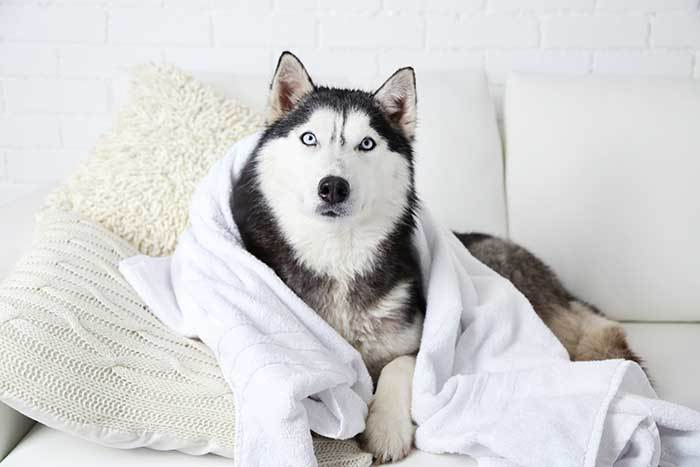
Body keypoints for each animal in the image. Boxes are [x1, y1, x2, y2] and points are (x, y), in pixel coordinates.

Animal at [232, 52, 644, 464]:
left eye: (367, 143)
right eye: (309, 138)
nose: (333, 187)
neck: (338, 256)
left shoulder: (423, 344)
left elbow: (401, 364)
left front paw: (386, 428)